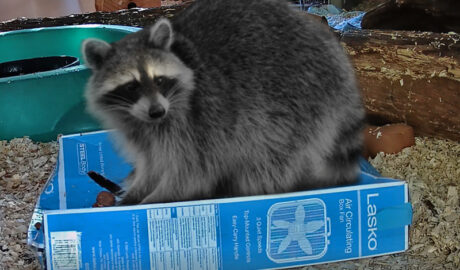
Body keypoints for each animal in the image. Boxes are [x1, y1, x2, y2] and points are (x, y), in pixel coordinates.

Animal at [82, 0, 362, 205]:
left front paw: (157, 198)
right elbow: (151, 162)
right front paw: (138, 189)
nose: (156, 111)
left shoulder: (199, 119)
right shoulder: (140, 126)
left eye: (159, 80)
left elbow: (190, 172)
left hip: (295, 97)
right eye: (132, 86)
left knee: (271, 155)